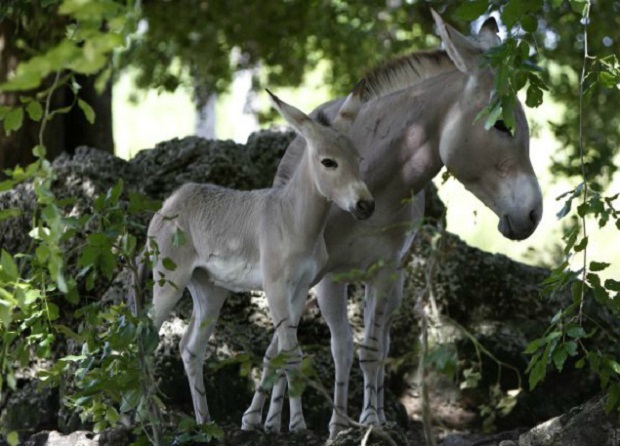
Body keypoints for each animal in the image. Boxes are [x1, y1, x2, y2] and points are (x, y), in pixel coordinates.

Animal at [147, 87, 372, 432]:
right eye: (328, 161)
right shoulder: (275, 286)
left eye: (358, 159)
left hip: (210, 290)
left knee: (190, 348)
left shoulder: (299, 289)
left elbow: (279, 353)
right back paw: (142, 418)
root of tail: (170, 202)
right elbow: (291, 354)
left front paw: (268, 422)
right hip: (168, 282)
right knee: (144, 337)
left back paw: (204, 422)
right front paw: (297, 426)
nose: (365, 205)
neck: (293, 220)